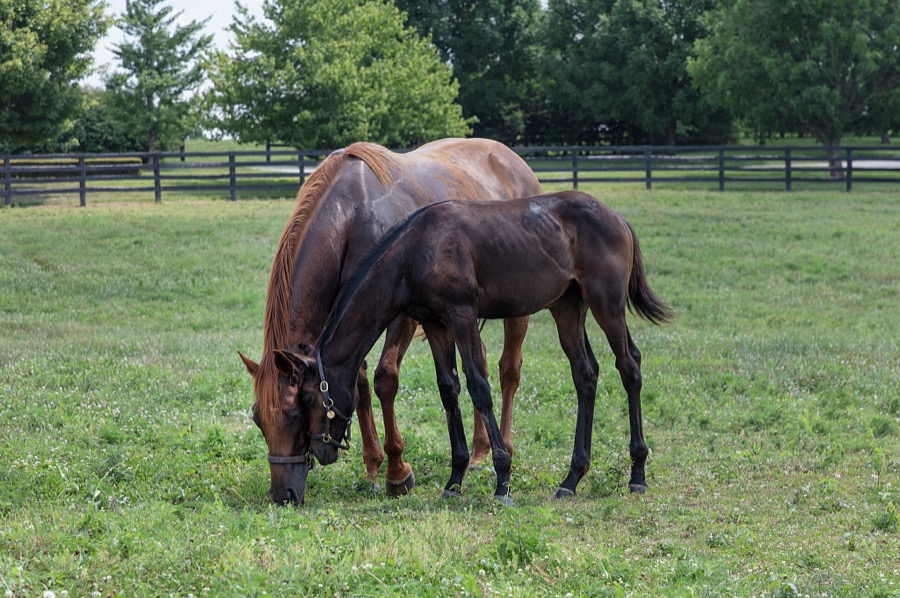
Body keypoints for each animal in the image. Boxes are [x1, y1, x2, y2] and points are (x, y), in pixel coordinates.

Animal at [239, 138, 542, 504]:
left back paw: (503, 449)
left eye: (296, 412)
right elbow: (359, 386)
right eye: (258, 419)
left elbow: (386, 380)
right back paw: (481, 450)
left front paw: (397, 470)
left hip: (515, 310)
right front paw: (373, 464)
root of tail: (514, 161)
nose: (282, 494)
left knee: (509, 370)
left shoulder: (400, 315)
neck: (354, 216)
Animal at [275, 191, 674, 503]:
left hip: (608, 306)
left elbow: (479, 387)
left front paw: (502, 480)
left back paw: (637, 472)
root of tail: (618, 219)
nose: (321, 450)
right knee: (585, 374)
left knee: (629, 366)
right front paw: (454, 480)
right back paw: (572, 478)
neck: (416, 252)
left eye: (307, 399)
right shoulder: (436, 324)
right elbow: (448, 390)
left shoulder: (463, 315)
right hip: (567, 308)